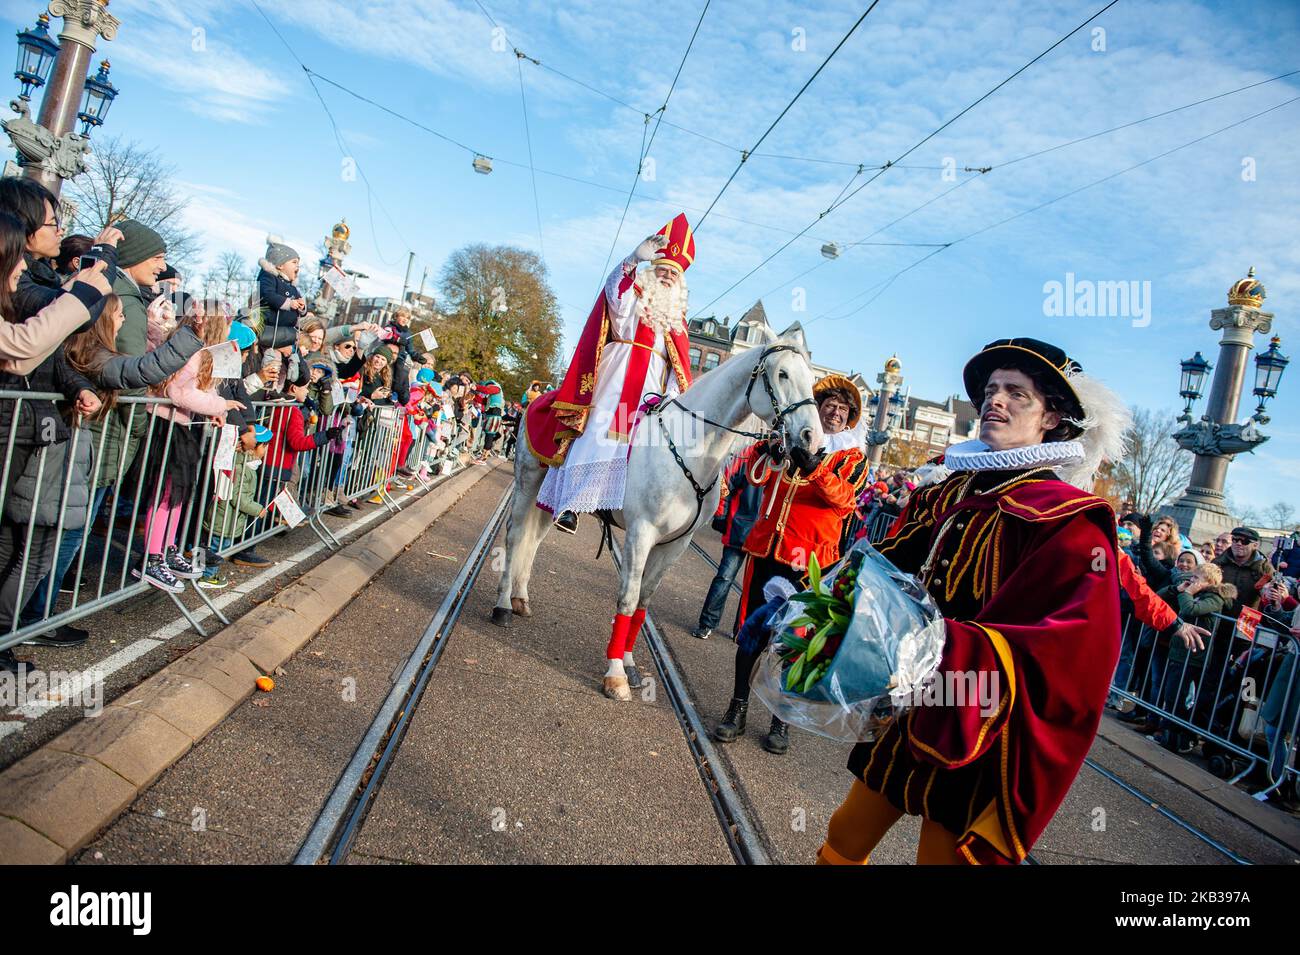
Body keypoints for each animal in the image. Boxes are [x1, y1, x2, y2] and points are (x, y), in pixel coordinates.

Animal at [488, 328, 821, 649]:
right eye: (782, 373)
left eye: (810, 379)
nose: (813, 441)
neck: (689, 450)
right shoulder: (641, 533)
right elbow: (628, 599)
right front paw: (616, 668)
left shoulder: (676, 543)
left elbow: (643, 604)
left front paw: (627, 661)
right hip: (527, 481)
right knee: (516, 536)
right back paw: (502, 605)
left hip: (548, 497)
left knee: (534, 539)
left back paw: (521, 598)